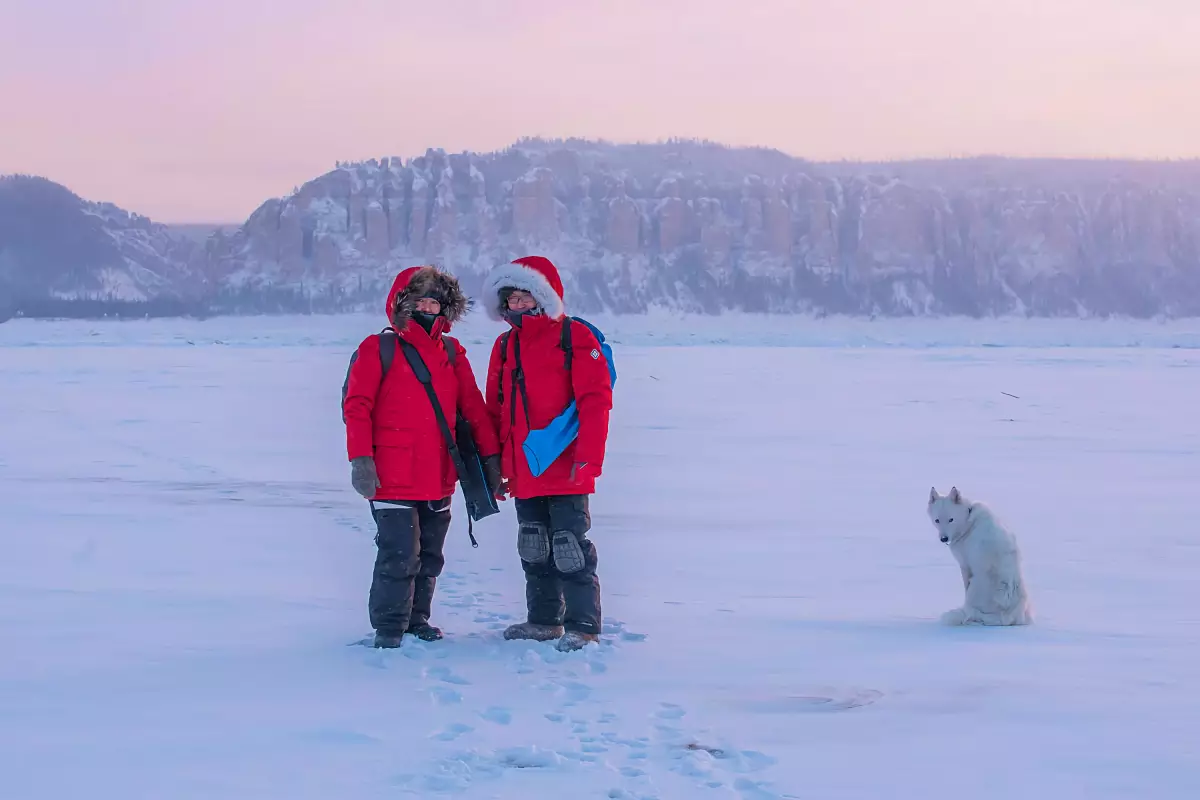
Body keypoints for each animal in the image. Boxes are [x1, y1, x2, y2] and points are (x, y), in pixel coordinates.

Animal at [926, 489, 1032, 623]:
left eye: (951, 519)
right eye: (937, 520)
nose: (943, 538)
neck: (967, 522)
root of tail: (1006, 616)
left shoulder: (965, 566)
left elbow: (965, 587)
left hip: (975, 585)